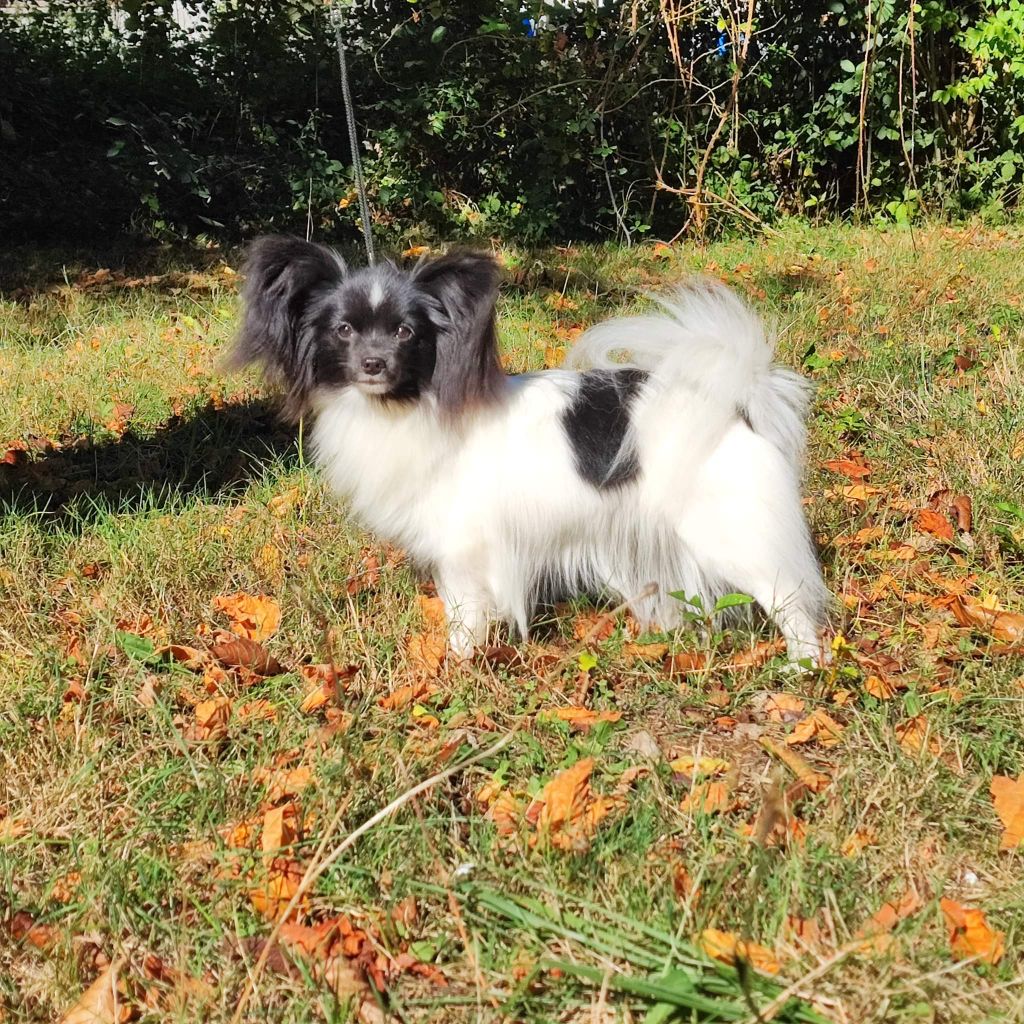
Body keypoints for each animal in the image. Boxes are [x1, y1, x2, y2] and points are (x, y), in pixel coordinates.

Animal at [230, 239, 823, 667]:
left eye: (404, 332)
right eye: (344, 330)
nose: (373, 364)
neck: (410, 407)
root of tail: (735, 403)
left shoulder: (465, 549)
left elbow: (464, 615)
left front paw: (459, 664)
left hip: (730, 532)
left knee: (789, 597)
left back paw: (804, 666)